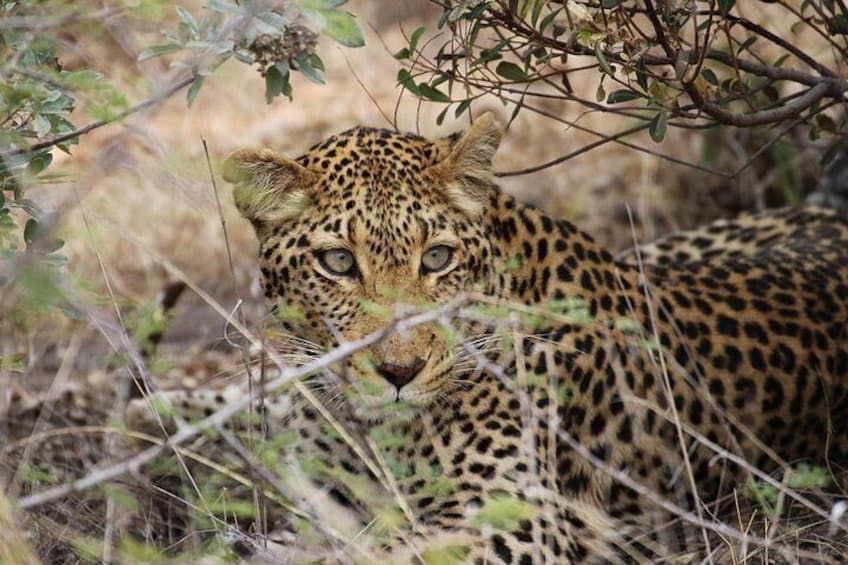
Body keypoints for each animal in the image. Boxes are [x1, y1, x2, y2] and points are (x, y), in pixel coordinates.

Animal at [8, 112, 848, 560]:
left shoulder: (522, 520)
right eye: (338, 262)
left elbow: (390, 548)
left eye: (436, 257)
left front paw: (276, 548)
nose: (399, 371)